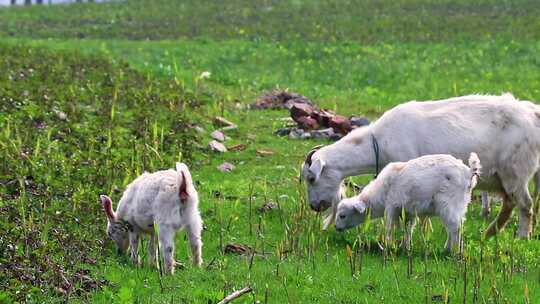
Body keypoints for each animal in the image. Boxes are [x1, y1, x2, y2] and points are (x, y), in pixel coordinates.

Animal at [302, 93, 540, 238]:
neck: (378, 141)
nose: (314, 206)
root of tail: (532, 114)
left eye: (311, 178)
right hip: (507, 177)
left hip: (515, 171)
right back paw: (489, 234)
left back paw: (521, 236)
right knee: (511, 203)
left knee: (525, 204)